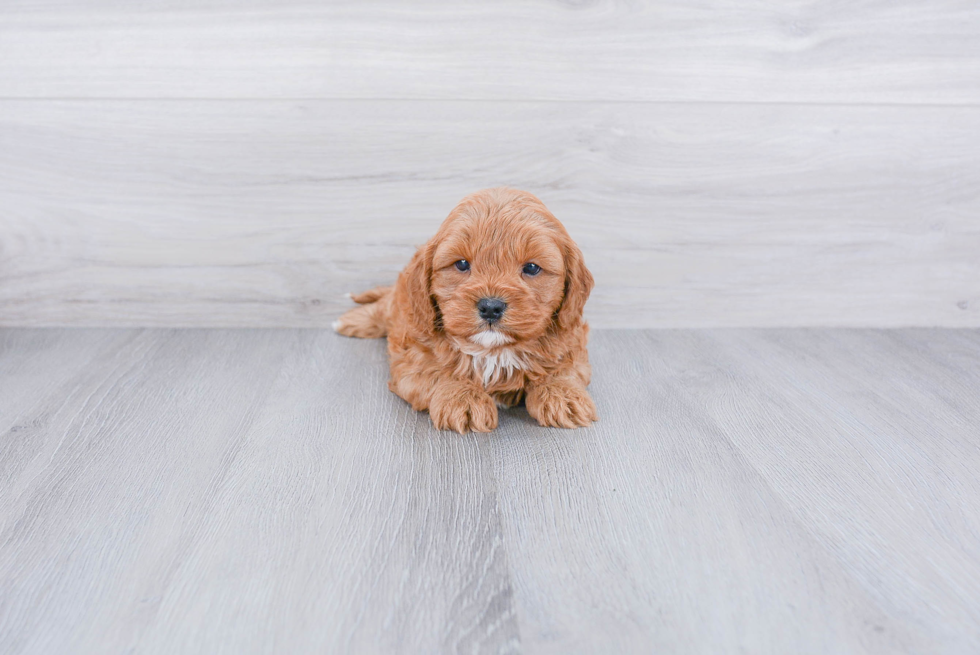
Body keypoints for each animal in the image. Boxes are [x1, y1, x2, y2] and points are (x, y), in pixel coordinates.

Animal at [334, 187, 596, 434]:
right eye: (461, 264)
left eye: (532, 268)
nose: (491, 306)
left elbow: (564, 368)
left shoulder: (572, 340)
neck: (493, 352)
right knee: (382, 308)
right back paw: (350, 321)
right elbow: (437, 371)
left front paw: (563, 395)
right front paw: (463, 398)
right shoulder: (412, 355)